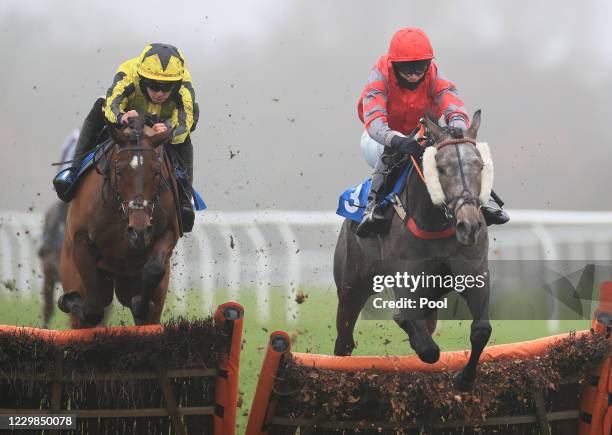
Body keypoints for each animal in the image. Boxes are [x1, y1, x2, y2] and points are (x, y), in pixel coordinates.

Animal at [332, 110, 494, 390]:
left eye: (480, 166)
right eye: (440, 168)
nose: (469, 225)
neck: (437, 222)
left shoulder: (474, 273)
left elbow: (481, 329)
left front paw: (464, 378)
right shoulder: (406, 279)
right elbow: (428, 348)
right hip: (351, 288)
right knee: (344, 342)